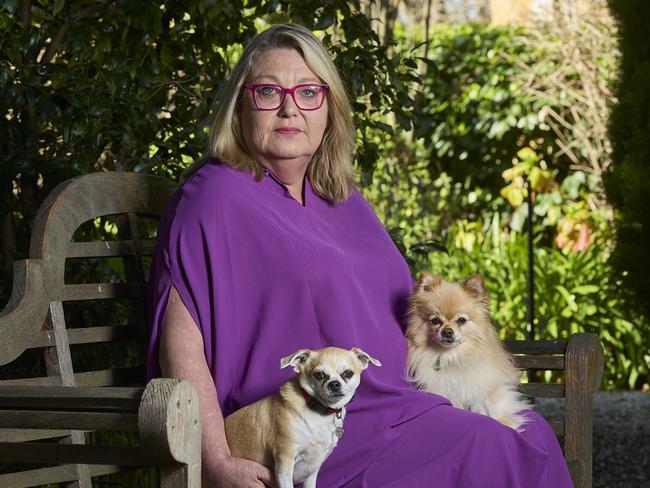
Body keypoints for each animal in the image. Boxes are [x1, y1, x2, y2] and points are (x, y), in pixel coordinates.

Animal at [404, 274, 528, 430]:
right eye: (436, 320)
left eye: (461, 320)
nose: (447, 331)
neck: (453, 357)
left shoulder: (483, 383)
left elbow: (491, 404)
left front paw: (505, 422)